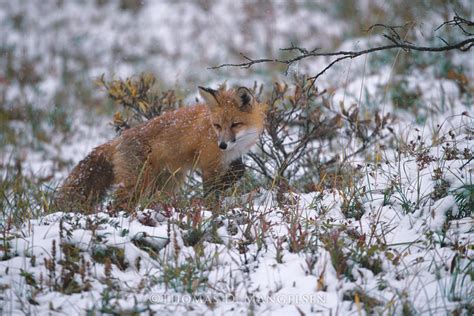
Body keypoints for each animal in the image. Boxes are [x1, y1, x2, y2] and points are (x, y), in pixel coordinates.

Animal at [56, 86, 266, 212]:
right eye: (218, 126)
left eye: (235, 124)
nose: (222, 144)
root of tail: (118, 139)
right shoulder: (208, 163)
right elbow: (211, 191)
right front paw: (211, 208)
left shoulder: (229, 159)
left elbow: (240, 170)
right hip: (138, 184)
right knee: (117, 205)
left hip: (166, 184)